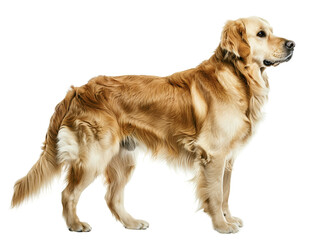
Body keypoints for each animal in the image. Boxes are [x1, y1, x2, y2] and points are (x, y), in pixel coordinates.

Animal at [10, 17, 296, 234]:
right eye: (261, 34)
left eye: (271, 31)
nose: (293, 43)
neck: (238, 79)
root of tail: (77, 90)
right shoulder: (213, 155)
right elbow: (215, 194)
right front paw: (221, 226)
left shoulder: (228, 158)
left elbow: (225, 192)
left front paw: (228, 217)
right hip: (94, 157)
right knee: (68, 194)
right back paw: (76, 225)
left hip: (123, 158)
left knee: (112, 198)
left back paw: (132, 223)